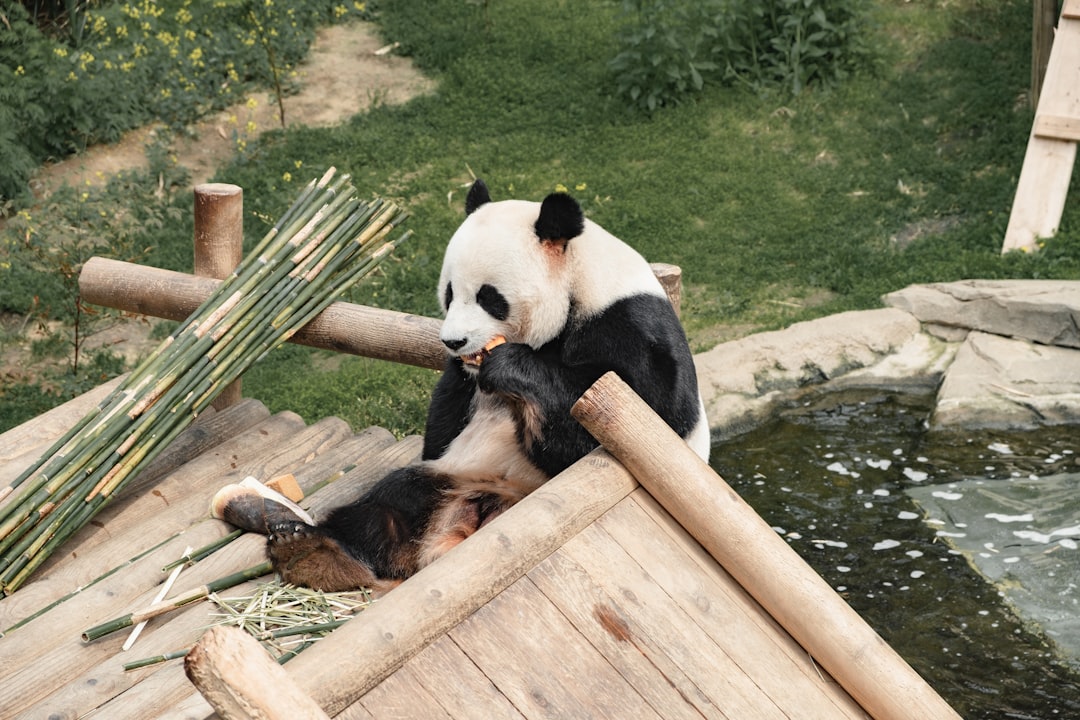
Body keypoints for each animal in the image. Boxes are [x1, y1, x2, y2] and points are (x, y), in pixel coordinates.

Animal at [252, 183, 708, 595]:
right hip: (451, 478)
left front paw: (511, 369)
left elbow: (633, 422)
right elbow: (446, 413)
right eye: (450, 292)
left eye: (490, 297)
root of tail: (467, 522)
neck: (578, 286)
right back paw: (309, 552)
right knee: (389, 504)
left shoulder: (628, 326)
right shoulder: (460, 384)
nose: (453, 341)